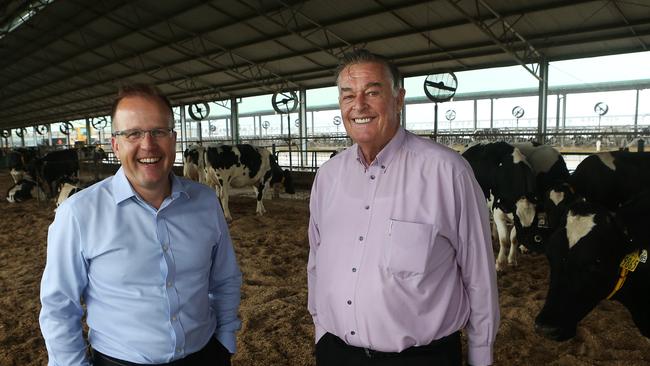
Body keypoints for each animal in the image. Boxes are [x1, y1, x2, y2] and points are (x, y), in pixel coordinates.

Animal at [460, 142, 536, 270]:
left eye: (533, 223)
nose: (528, 247)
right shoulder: (498, 211)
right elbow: (504, 240)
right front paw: (500, 263)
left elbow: (513, 238)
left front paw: (512, 259)